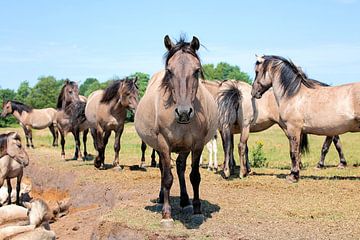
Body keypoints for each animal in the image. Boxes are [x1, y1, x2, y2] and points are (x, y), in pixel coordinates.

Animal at [134, 35, 217, 225]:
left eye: (196, 71)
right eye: (169, 71)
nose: (184, 112)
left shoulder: (197, 145)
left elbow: (194, 176)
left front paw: (197, 210)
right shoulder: (164, 144)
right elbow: (167, 178)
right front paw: (166, 214)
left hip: (184, 147)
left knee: (180, 167)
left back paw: (185, 201)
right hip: (159, 146)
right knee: (163, 170)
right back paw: (160, 199)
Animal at [250, 54, 360, 182]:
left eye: (257, 72)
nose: (253, 92)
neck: (293, 95)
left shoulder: (293, 129)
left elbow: (293, 152)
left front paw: (293, 176)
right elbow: (297, 152)